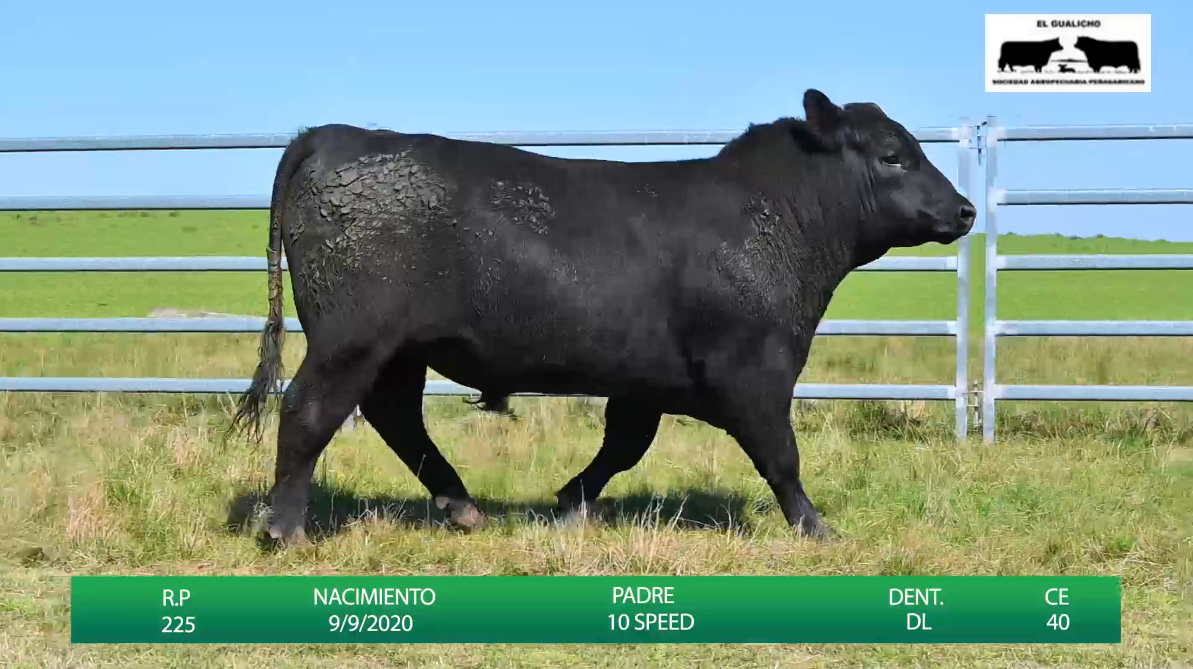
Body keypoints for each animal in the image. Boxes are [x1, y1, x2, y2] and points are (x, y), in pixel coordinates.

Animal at [228, 89, 976, 546]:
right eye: (893, 155)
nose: (966, 209)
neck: (773, 219)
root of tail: (335, 136)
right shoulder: (752, 371)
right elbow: (781, 456)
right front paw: (815, 528)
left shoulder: (646, 379)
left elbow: (623, 445)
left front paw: (569, 504)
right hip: (350, 339)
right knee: (309, 410)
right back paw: (285, 527)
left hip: (399, 350)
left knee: (396, 418)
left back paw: (463, 507)